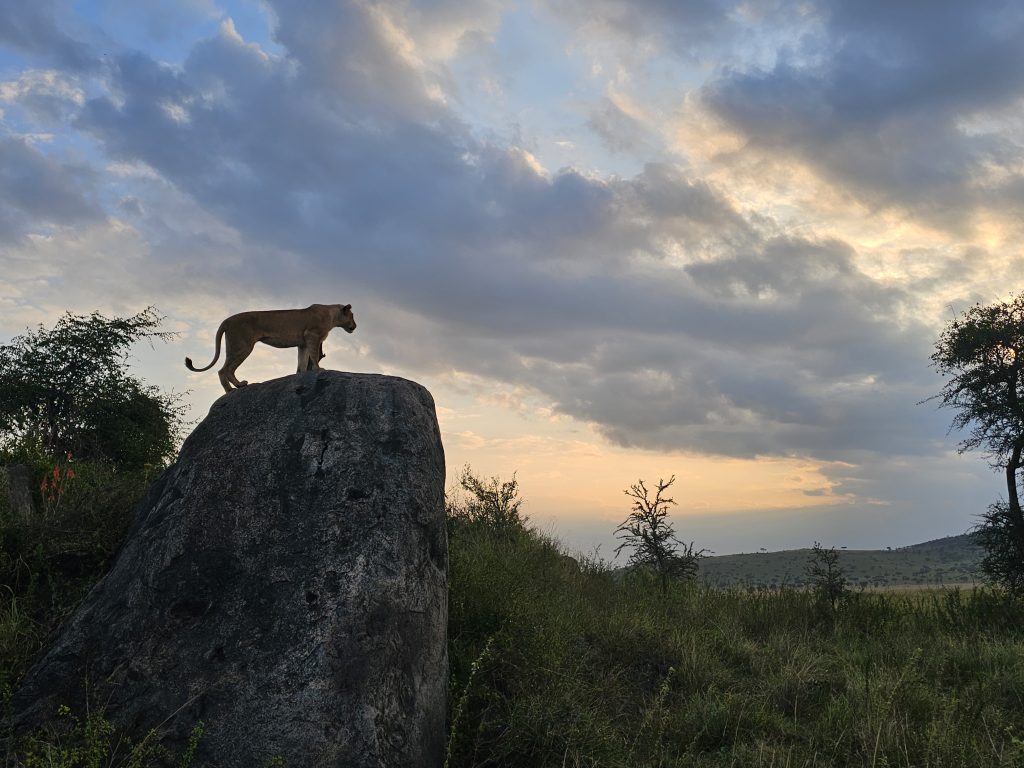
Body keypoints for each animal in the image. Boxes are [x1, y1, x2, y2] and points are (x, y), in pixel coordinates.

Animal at [185, 303, 356, 393]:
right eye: (352, 316)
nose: (355, 326)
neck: (332, 316)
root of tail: (226, 321)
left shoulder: (302, 343)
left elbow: (302, 361)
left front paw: (300, 375)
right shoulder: (312, 336)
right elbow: (313, 356)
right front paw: (320, 369)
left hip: (233, 346)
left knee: (227, 369)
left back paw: (237, 386)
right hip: (243, 345)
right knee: (224, 370)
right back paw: (234, 388)